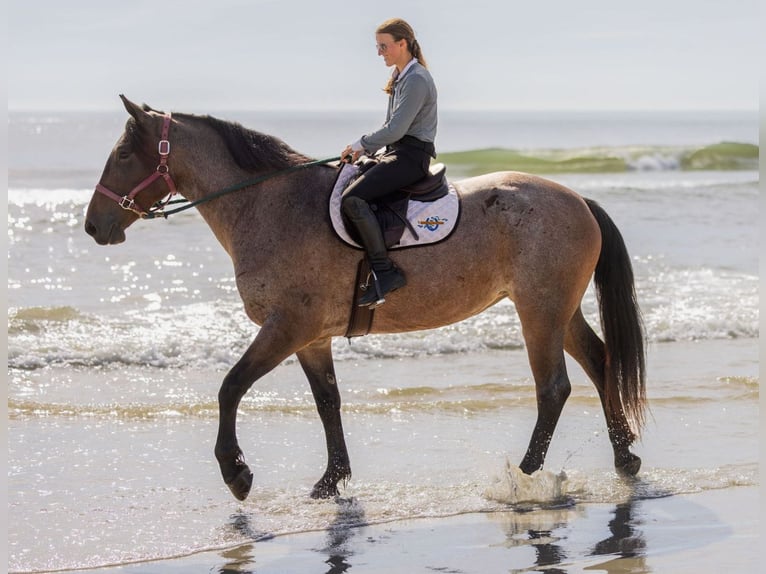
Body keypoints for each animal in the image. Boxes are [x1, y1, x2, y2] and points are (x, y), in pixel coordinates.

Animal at [84, 96, 646, 502]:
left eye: (124, 154)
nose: (93, 226)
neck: (271, 205)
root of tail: (578, 200)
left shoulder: (286, 327)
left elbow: (230, 387)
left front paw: (236, 474)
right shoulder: (310, 338)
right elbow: (327, 402)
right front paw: (331, 480)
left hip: (539, 312)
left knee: (553, 388)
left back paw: (523, 475)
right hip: (558, 311)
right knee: (600, 362)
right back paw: (625, 459)